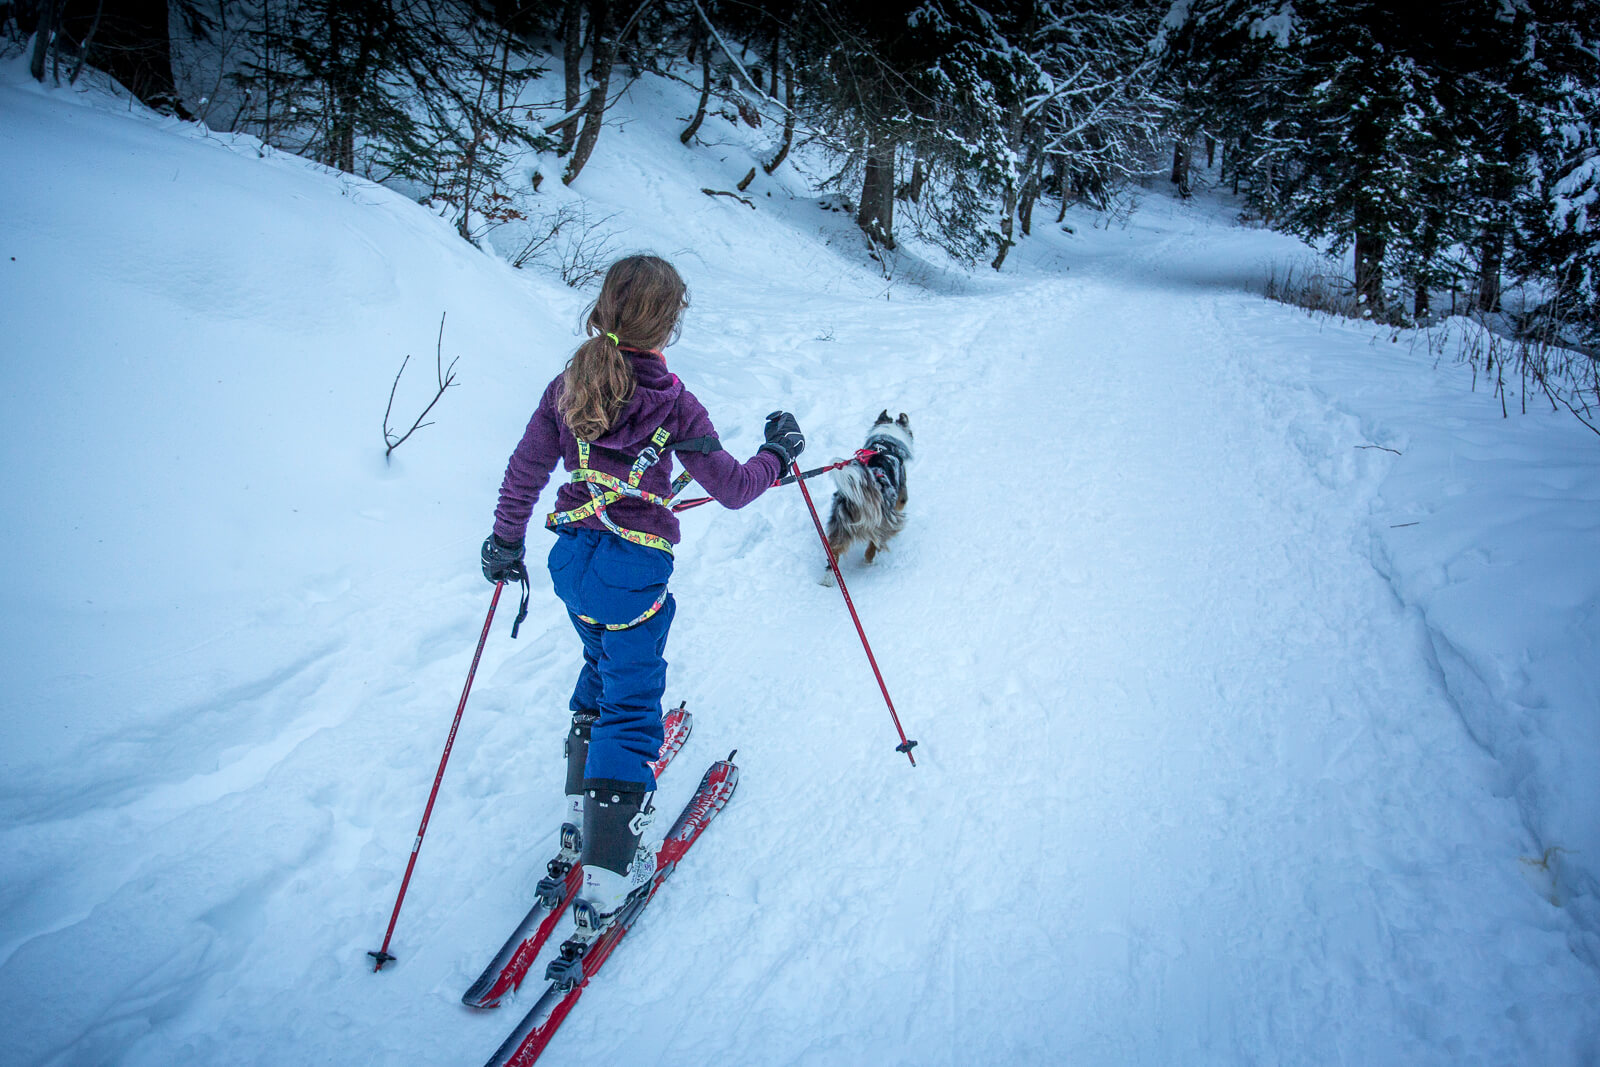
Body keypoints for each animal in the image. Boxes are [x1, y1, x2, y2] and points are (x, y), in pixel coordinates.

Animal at [825, 412, 915, 588]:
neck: (885, 444)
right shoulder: (902, 496)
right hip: (884, 523)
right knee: (875, 544)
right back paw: (868, 560)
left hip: (840, 526)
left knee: (834, 552)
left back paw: (827, 580)